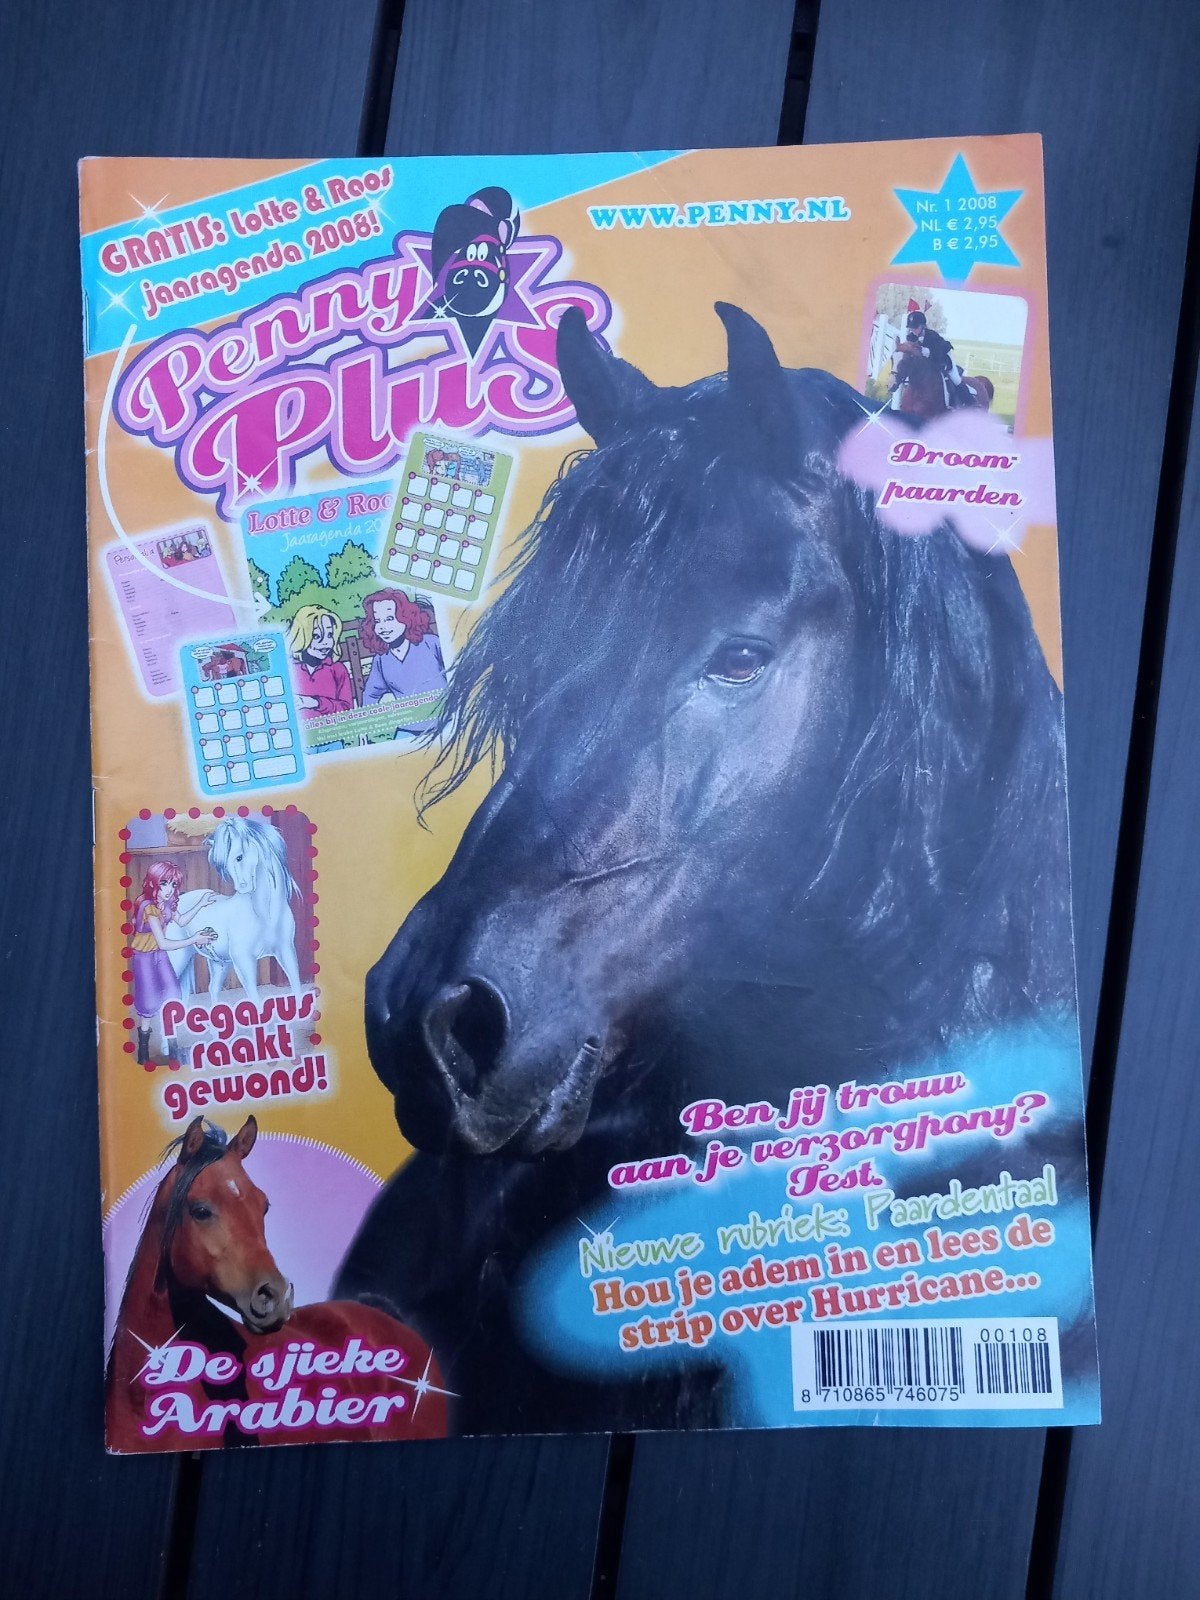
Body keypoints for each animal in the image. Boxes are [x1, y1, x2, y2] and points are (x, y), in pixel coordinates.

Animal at [168, 816, 301, 1004]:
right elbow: (255, 1001)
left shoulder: (286, 952)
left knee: (212, 988)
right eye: (225, 864)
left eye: (239, 857)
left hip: (219, 963)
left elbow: (297, 987)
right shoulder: (243, 961)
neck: (265, 916)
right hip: (178, 958)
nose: (242, 887)